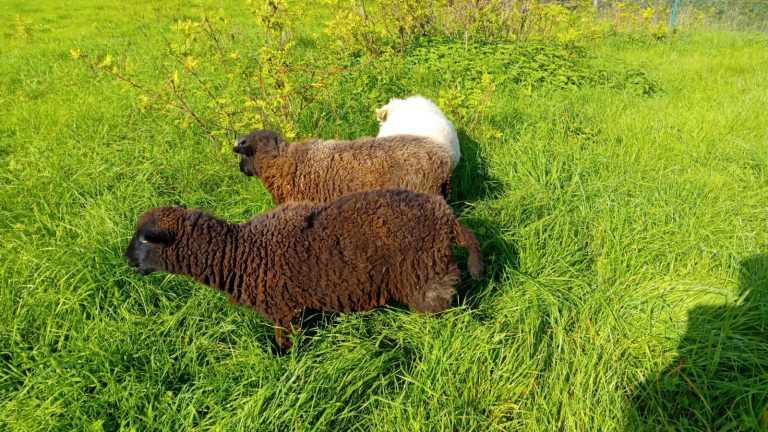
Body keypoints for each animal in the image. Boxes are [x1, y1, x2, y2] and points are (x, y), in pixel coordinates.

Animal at [124, 189, 482, 350]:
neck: (241, 252)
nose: (126, 259)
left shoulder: (284, 310)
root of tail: (448, 219)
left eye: (144, 238)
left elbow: (285, 345)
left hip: (424, 275)